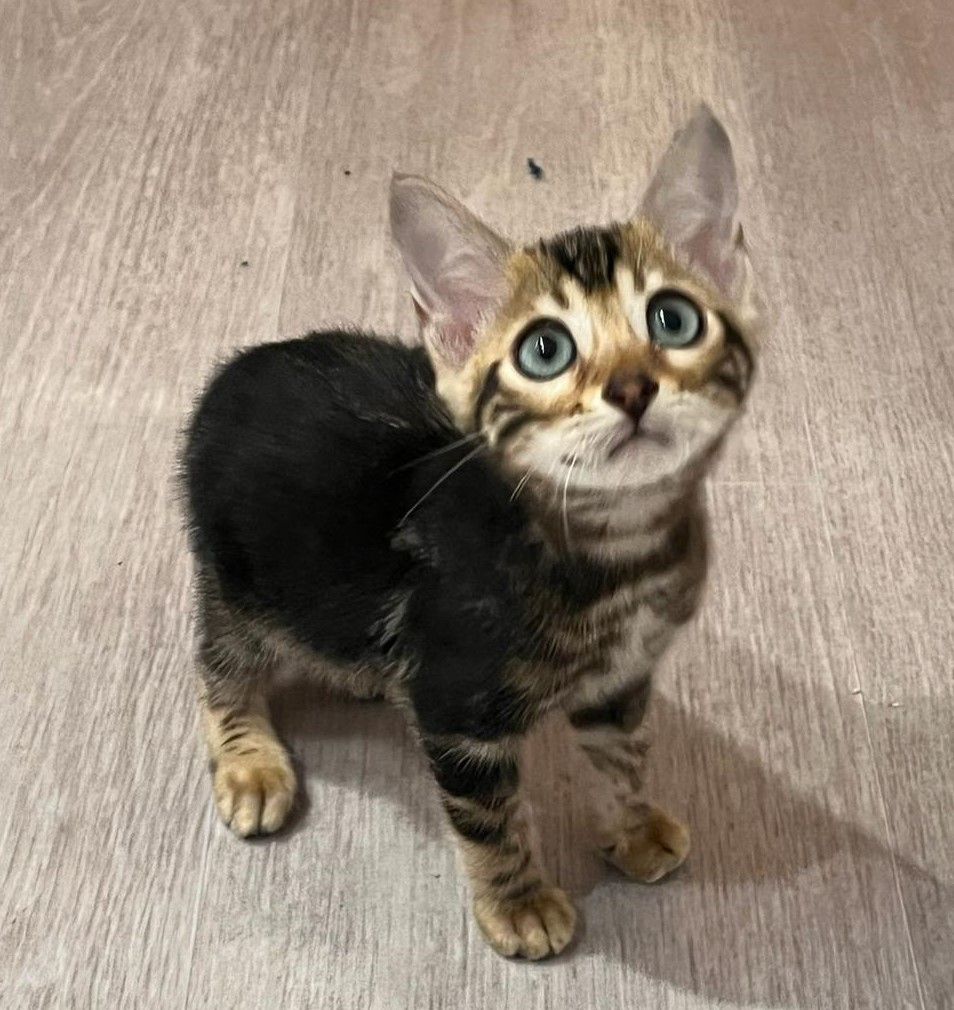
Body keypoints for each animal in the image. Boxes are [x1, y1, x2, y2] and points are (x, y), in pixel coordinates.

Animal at [181, 105, 762, 960]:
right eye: (546, 350)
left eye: (674, 319)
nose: (632, 387)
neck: (614, 554)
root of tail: (233, 370)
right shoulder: (463, 717)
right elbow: (492, 822)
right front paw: (519, 903)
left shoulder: (620, 681)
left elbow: (623, 759)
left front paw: (631, 829)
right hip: (241, 577)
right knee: (220, 664)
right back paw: (251, 762)